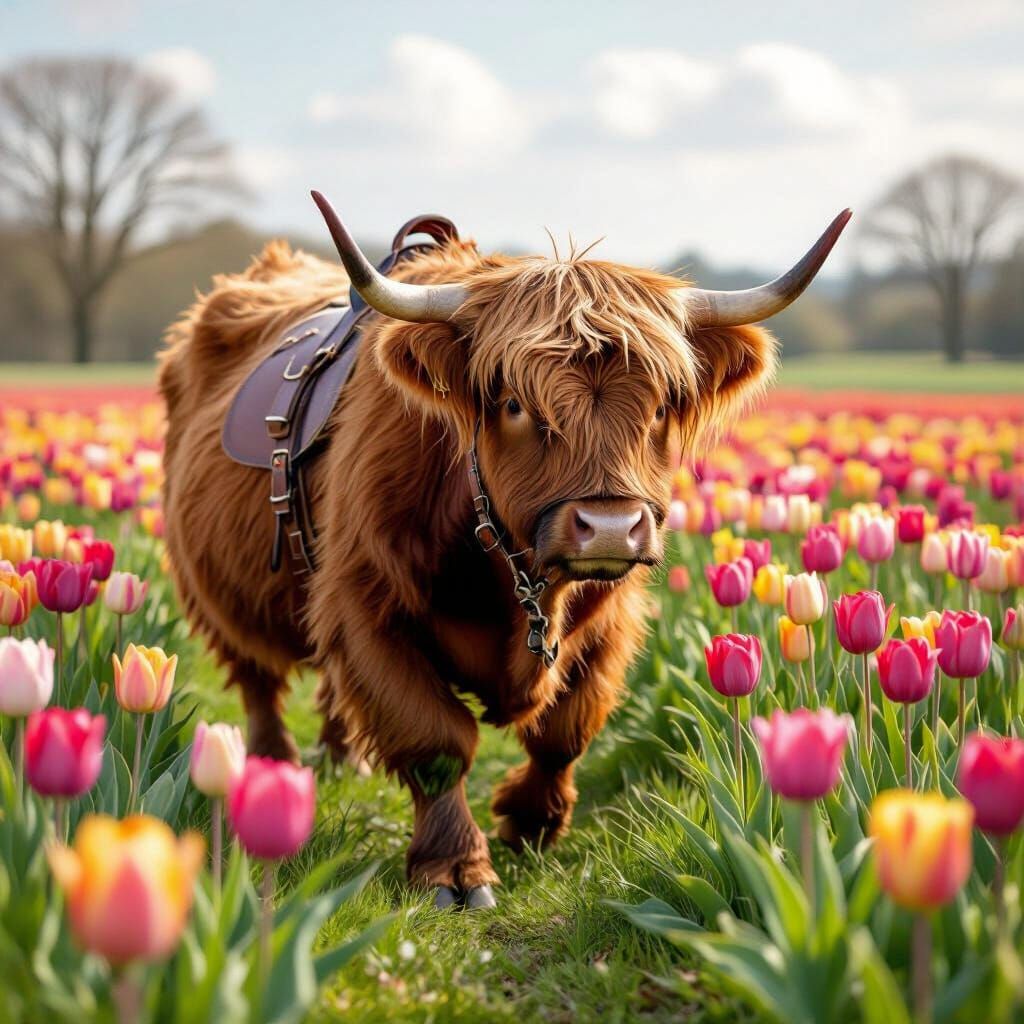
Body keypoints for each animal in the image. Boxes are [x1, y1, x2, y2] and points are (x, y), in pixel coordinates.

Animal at [159, 193, 849, 908]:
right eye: (515, 404)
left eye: (660, 407)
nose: (608, 527)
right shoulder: (366, 605)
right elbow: (435, 740)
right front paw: (454, 868)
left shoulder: (610, 619)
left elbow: (565, 728)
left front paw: (531, 820)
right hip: (217, 594)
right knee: (258, 682)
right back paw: (273, 768)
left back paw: (344, 756)